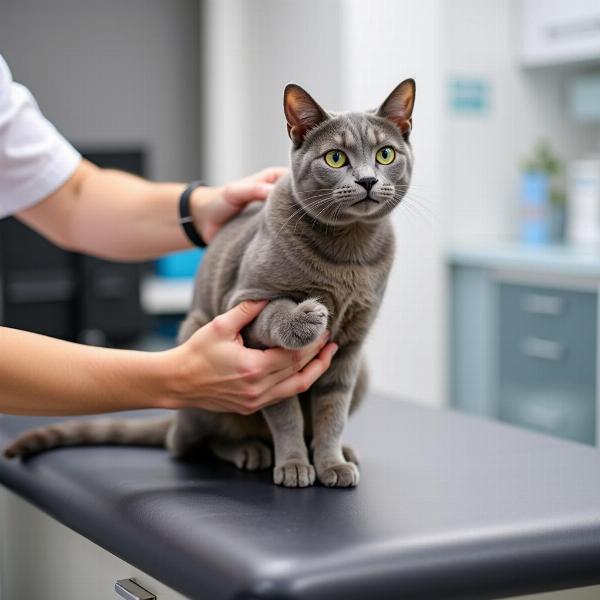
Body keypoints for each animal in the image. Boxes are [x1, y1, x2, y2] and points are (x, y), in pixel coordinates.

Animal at [4, 78, 418, 488]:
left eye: (384, 155)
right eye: (335, 158)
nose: (367, 179)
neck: (348, 256)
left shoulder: (351, 346)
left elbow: (332, 411)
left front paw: (331, 462)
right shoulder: (249, 309)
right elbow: (285, 410)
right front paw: (294, 464)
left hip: (363, 371)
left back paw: (339, 452)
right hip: (194, 347)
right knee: (190, 443)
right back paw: (250, 451)